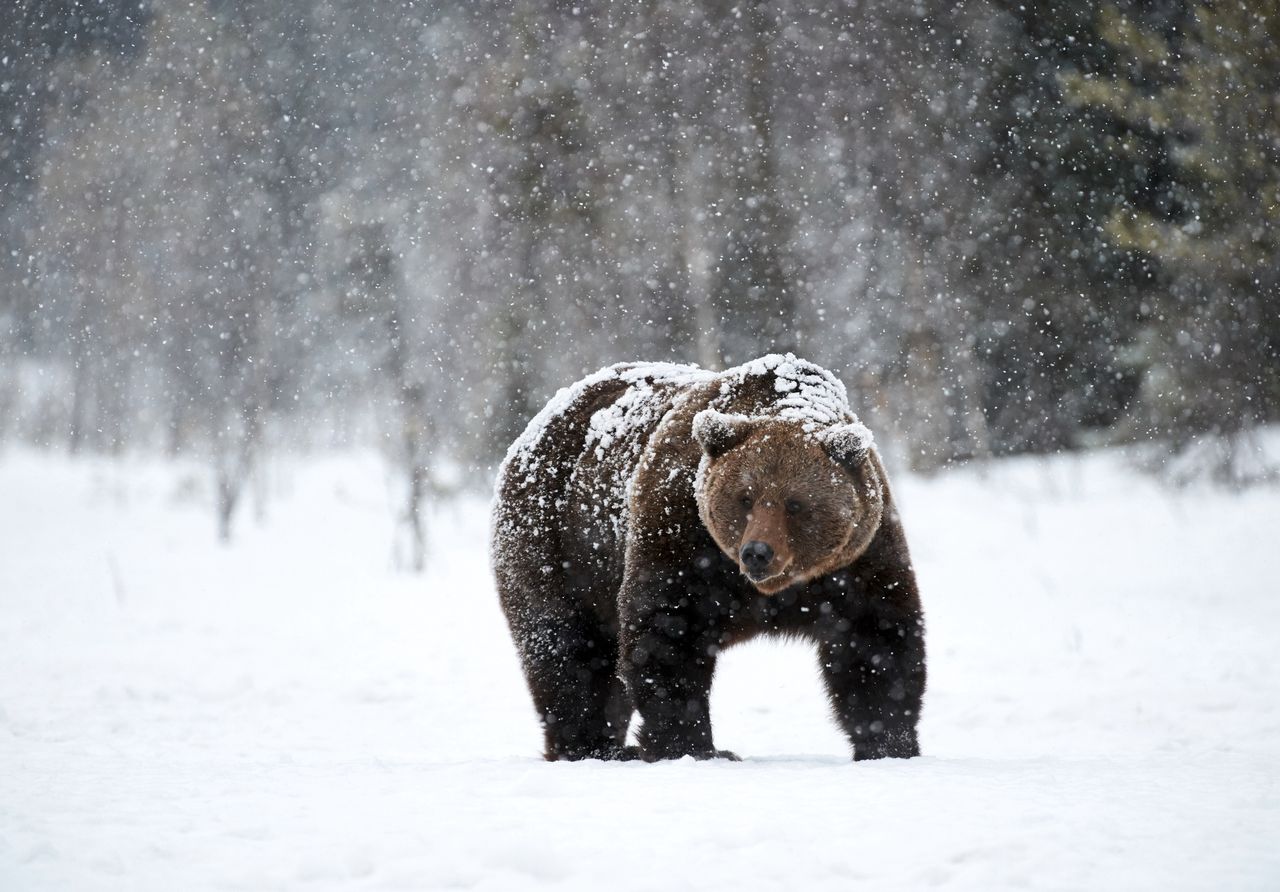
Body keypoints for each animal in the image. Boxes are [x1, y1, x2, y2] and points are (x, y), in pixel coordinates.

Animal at [494, 353, 926, 757]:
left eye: (795, 504)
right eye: (746, 497)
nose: (757, 553)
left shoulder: (856, 560)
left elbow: (877, 643)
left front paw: (890, 744)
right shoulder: (680, 535)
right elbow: (666, 635)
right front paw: (693, 746)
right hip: (558, 542)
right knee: (567, 651)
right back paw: (594, 747)